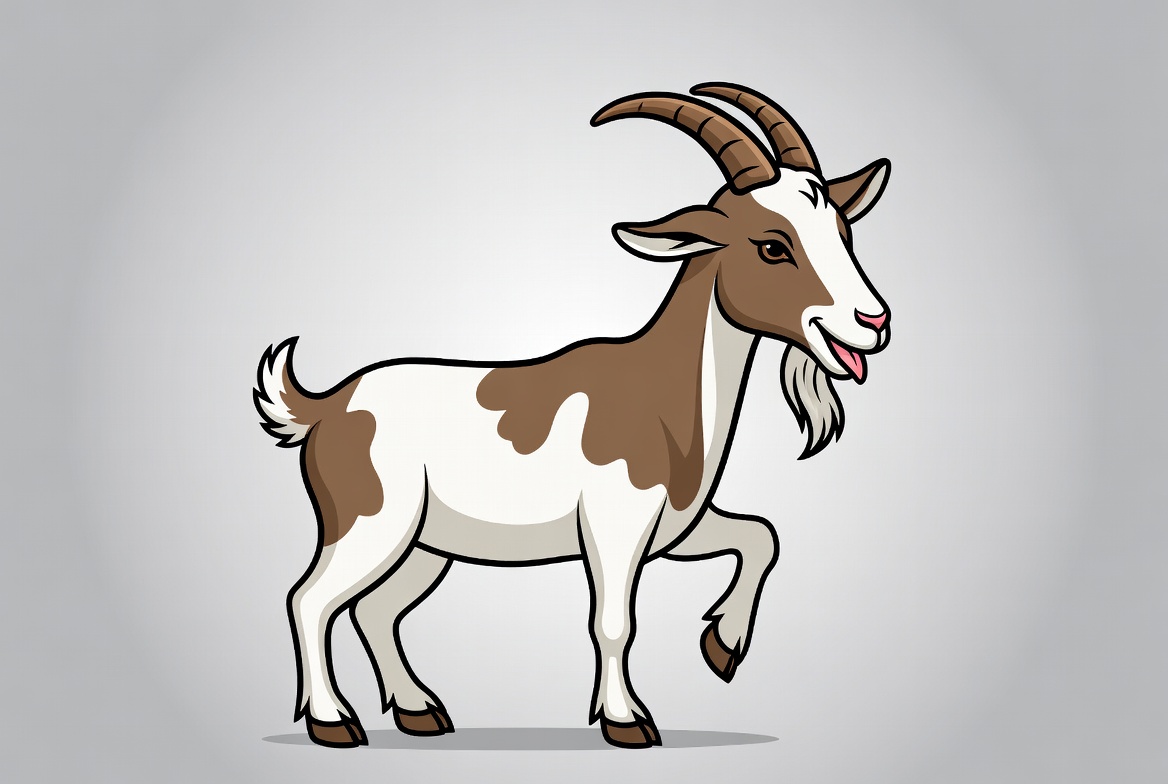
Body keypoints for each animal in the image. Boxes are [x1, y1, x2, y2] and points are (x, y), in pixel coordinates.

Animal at [254, 82, 892, 749]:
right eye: (772, 245)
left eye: (844, 230)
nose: (874, 321)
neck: (660, 387)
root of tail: (329, 405)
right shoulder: (615, 526)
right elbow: (614, 622)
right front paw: (628, 720)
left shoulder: (677, 527)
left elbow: (761, 536)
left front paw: (722, 646)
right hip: (368, 524)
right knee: (311, 600)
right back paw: (334, 722)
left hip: (425, 545)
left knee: (377, 610)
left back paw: (420, 712)